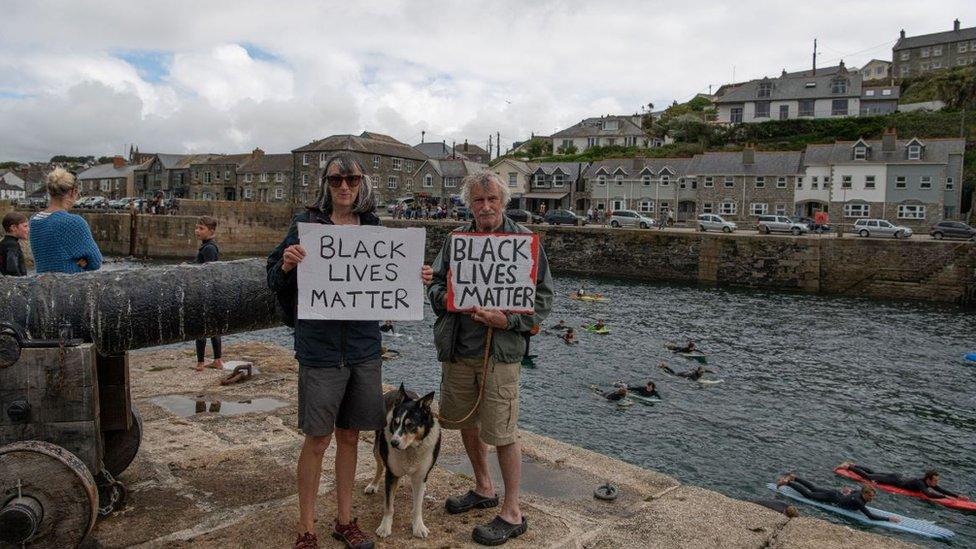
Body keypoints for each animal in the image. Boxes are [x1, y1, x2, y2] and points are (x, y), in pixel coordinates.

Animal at [366, 384, 442, 536]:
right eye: (395, 423)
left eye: (410, 425)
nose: (394, 443)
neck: (410, 448)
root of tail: (394, 391)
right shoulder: (392, 474)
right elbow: (389, 505)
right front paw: (385, 527)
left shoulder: (421, 476)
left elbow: (418, 505)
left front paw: (418, 526)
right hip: (377, 447)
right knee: (380, 466)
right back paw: (373, 485)